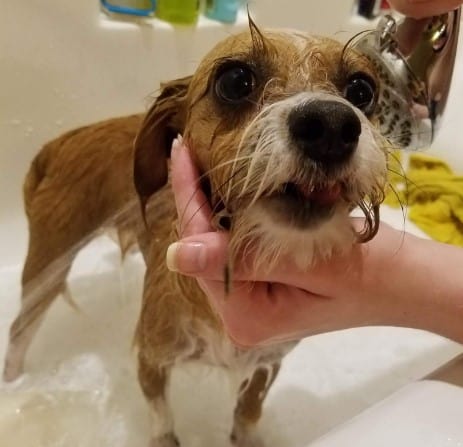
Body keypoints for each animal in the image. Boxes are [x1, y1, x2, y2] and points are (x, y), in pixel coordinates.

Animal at [5, 21, 390, 447]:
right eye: (235, 81)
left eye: (361, 90)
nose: (331, 126)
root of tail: (59, 142)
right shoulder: (151, 355)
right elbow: (161, 417)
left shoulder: (267, 359)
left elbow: (249, 410)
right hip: (48, 263)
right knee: (19, 329)